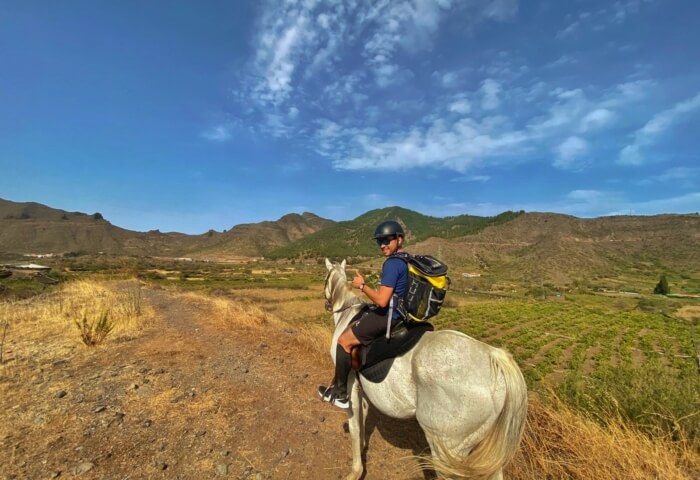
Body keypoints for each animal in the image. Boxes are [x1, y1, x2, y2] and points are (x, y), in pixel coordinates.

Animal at [322, 258, 524, 480]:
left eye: (325, 279)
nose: (327, 304)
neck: (348, 315)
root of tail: (492, 356)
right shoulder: (362, 386)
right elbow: (363, 418)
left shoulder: (350, 384)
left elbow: (354, 425)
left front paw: (355, 471)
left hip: (447, 448)